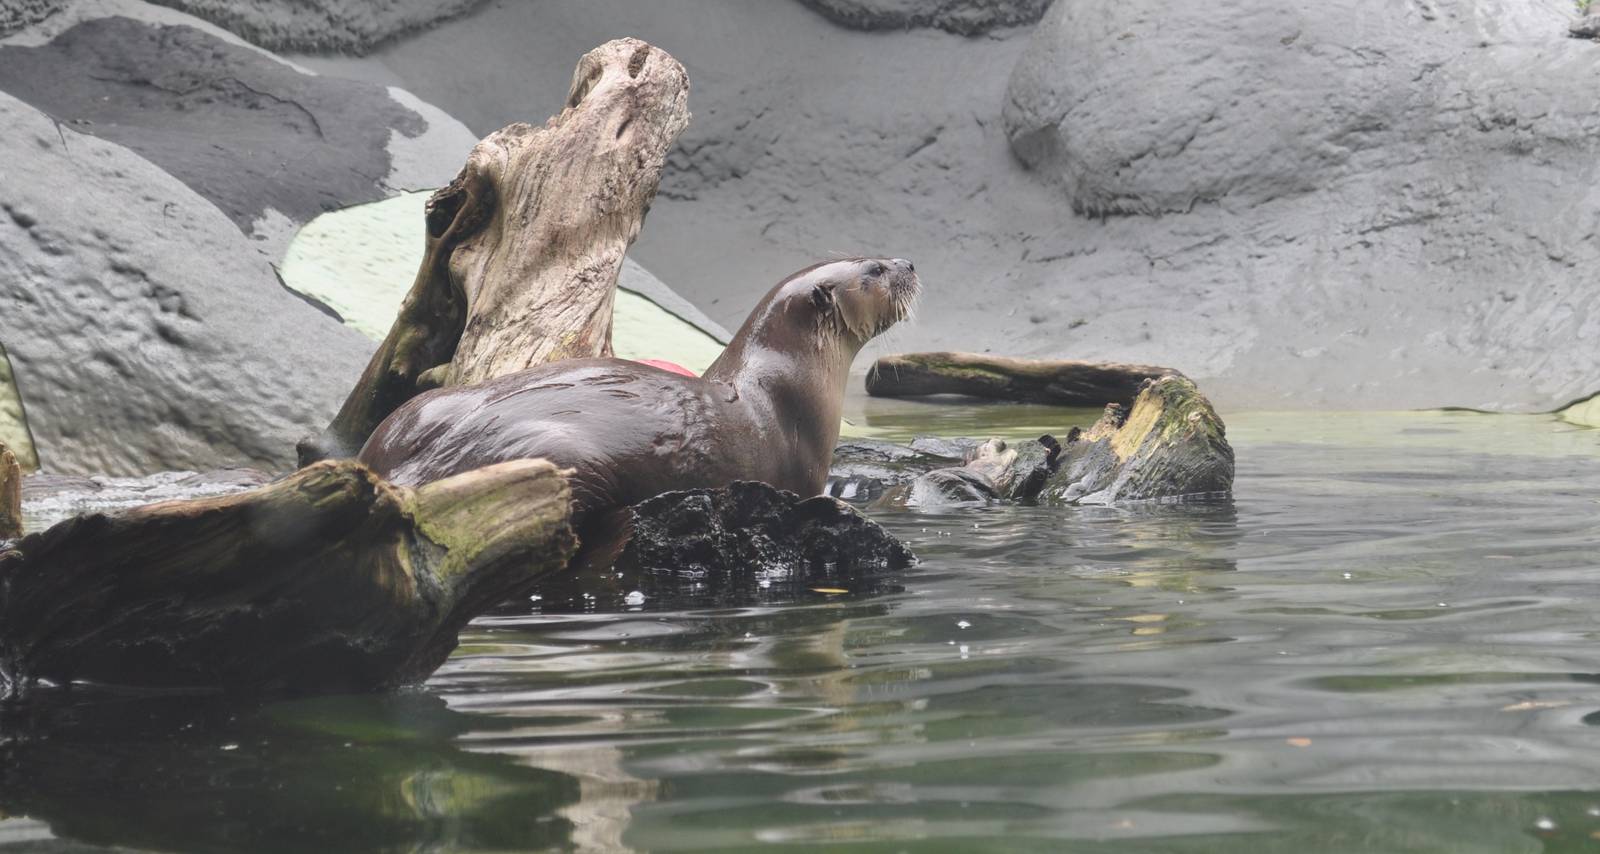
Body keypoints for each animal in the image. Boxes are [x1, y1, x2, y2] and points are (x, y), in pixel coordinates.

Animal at [358, 258, 920, 525]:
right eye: (873, 268)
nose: (910, 263)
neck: (786, 381)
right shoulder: (803, 472)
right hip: (557, 455)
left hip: (419, 410)